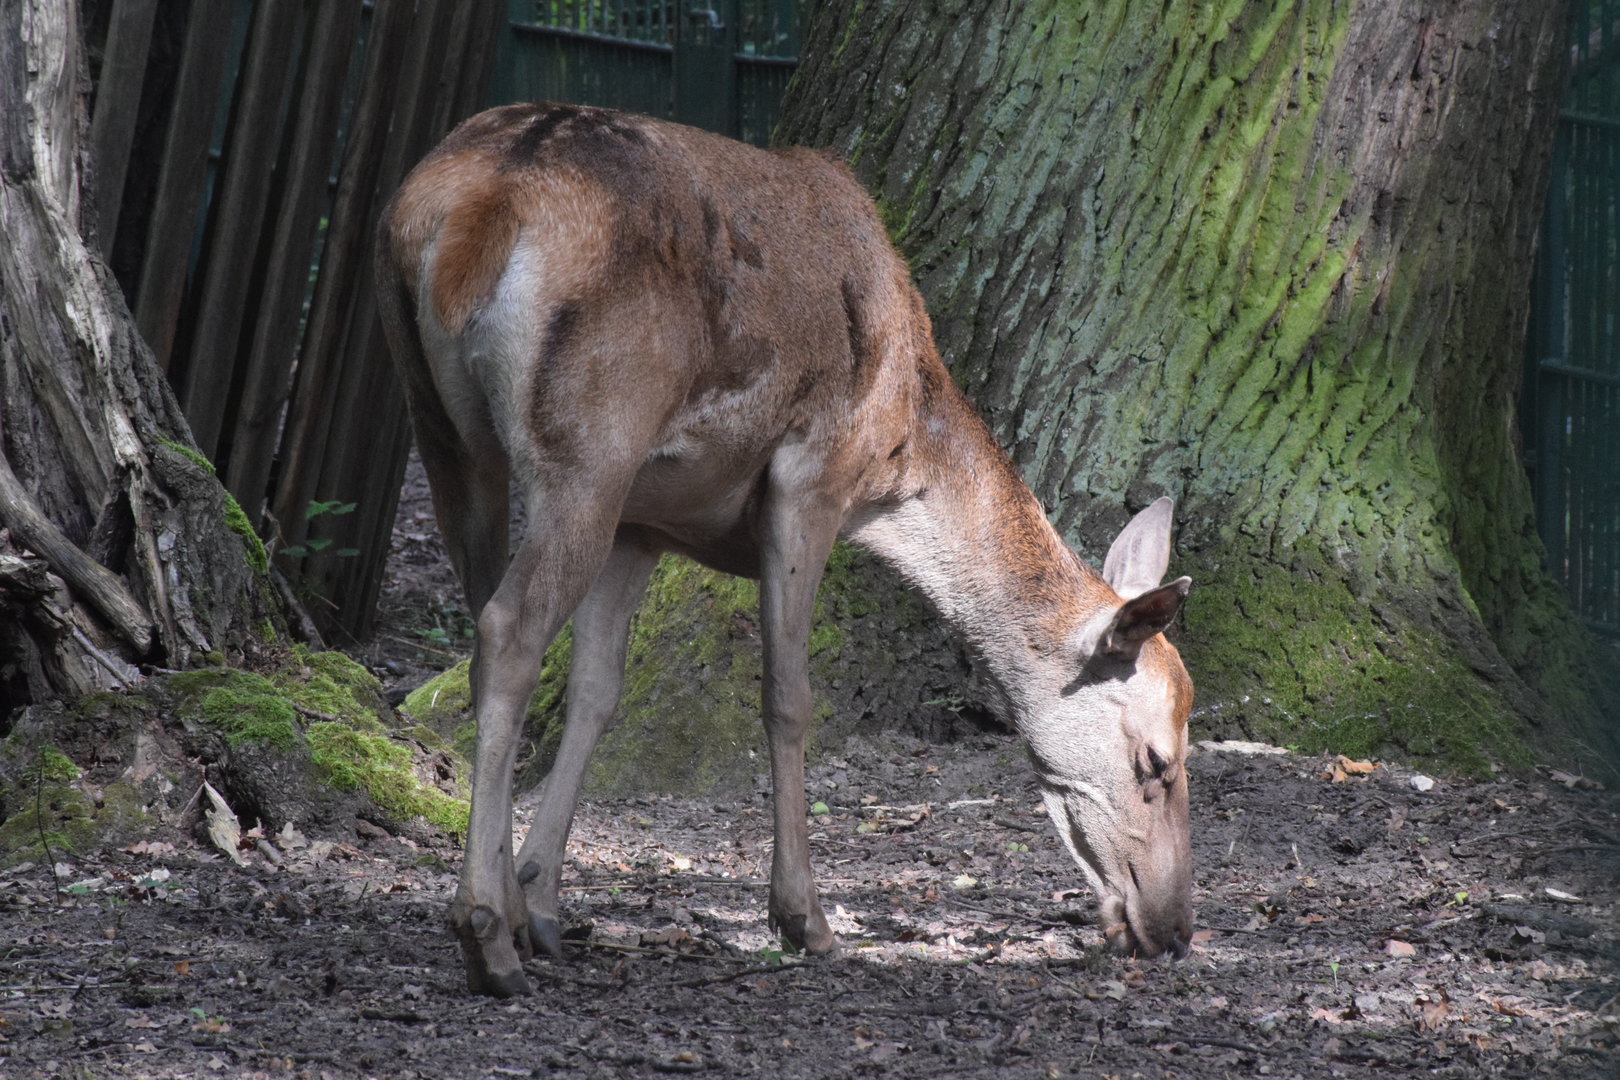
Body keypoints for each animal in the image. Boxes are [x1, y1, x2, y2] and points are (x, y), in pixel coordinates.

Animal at [375, 103, 1195, 997]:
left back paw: (509, 913)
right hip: (588, 443)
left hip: (446, 432)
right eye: (1157, 760)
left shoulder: (642, 523)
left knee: (483, 618)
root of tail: (471, 207)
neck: (901, 455)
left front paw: (548, 903)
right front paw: (805, 917)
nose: (1176, 929)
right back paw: (486, 934)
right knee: (509, 631)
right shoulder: (812, 478)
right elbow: (788, 694)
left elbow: (598, 690)